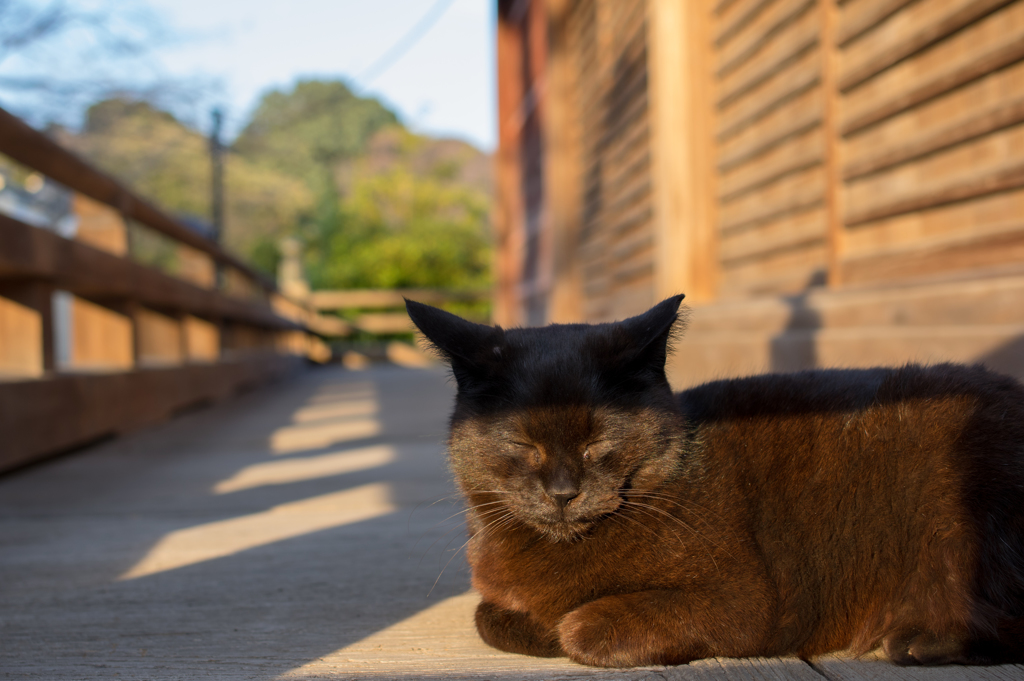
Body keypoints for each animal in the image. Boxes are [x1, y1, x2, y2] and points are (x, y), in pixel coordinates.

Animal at [405, 294, 1024, 667]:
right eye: (522, 444)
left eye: (598, 440)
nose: (562, 492)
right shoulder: (496, 595)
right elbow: (489, 617)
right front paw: (537, 624)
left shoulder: (742, 601)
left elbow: (579, 629)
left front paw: (563, 627)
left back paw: (918, 641)